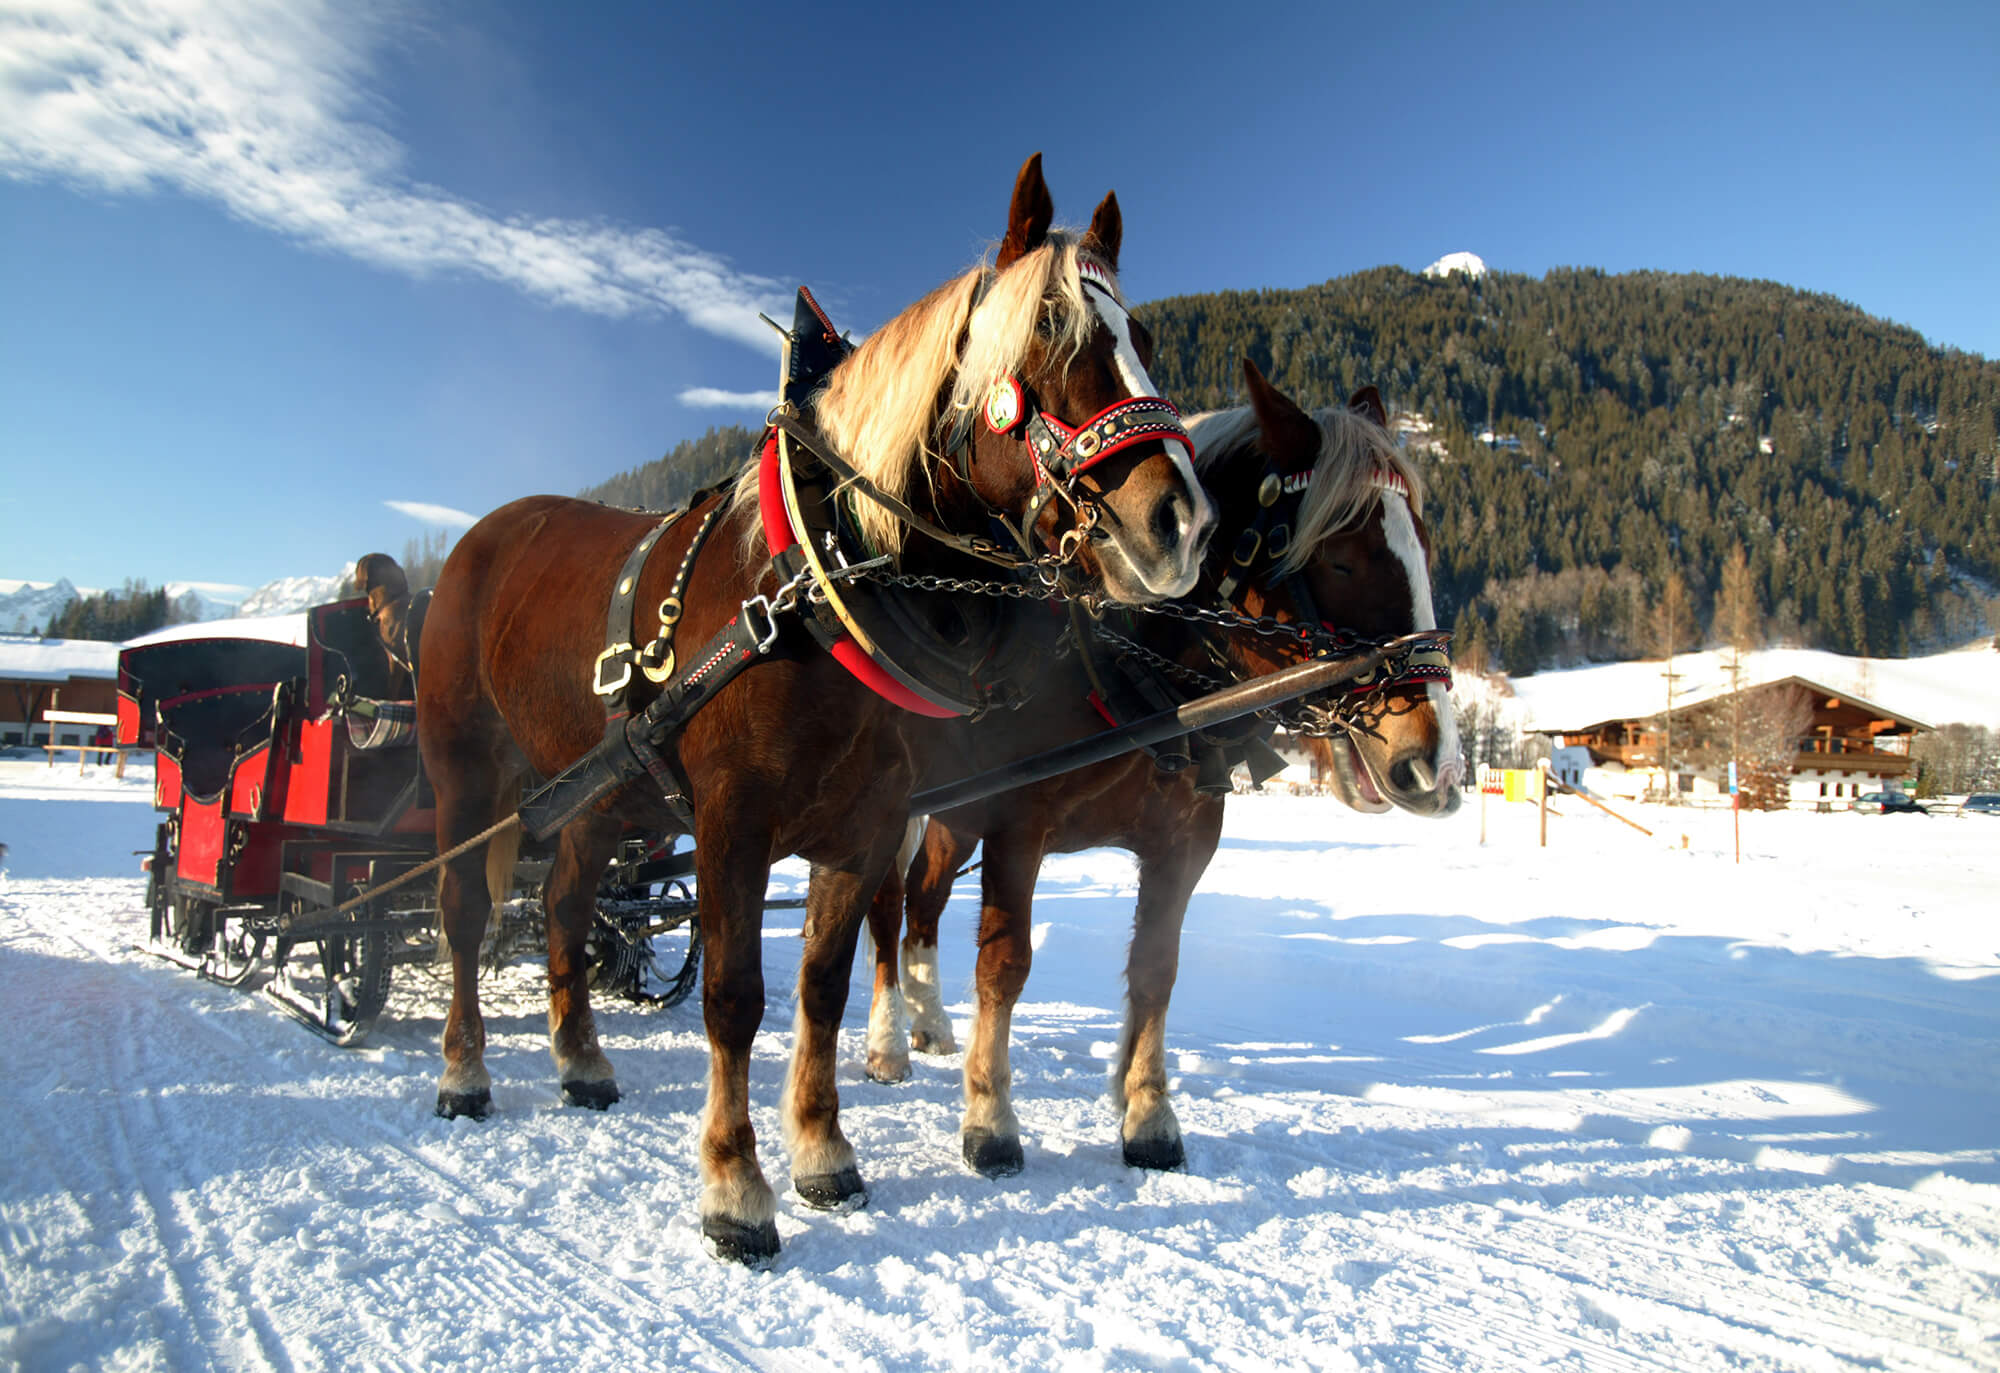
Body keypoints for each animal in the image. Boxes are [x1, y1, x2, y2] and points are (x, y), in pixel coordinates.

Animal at [414, 153, 1208, 1272]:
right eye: (1051, 333)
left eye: (1136, 334)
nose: (1177, 522)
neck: (816, 582)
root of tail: (480, 537)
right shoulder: (731, 824)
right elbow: (735, 997)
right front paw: (736, 1187)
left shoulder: (866, 825)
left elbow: (822, 987)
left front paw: (823, 1150)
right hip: (466, 771)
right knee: (463, 909)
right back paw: (463, 1069)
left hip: (603, 796)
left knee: (566, 901)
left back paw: (580, 1059)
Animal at [856, 360, 1456, 1176]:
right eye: (1341, 556)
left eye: (1422, 544)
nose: (1434, 761)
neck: (1129, 668)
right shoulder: (1018, 827)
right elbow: (1005, 964)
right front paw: (990, 1117)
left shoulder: (1184, 841)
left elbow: (1156, 968)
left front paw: (1147, 1115)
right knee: (887, 907)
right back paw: (888, 1039)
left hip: (955, 814)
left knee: (924, 900)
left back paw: (929, 1020)